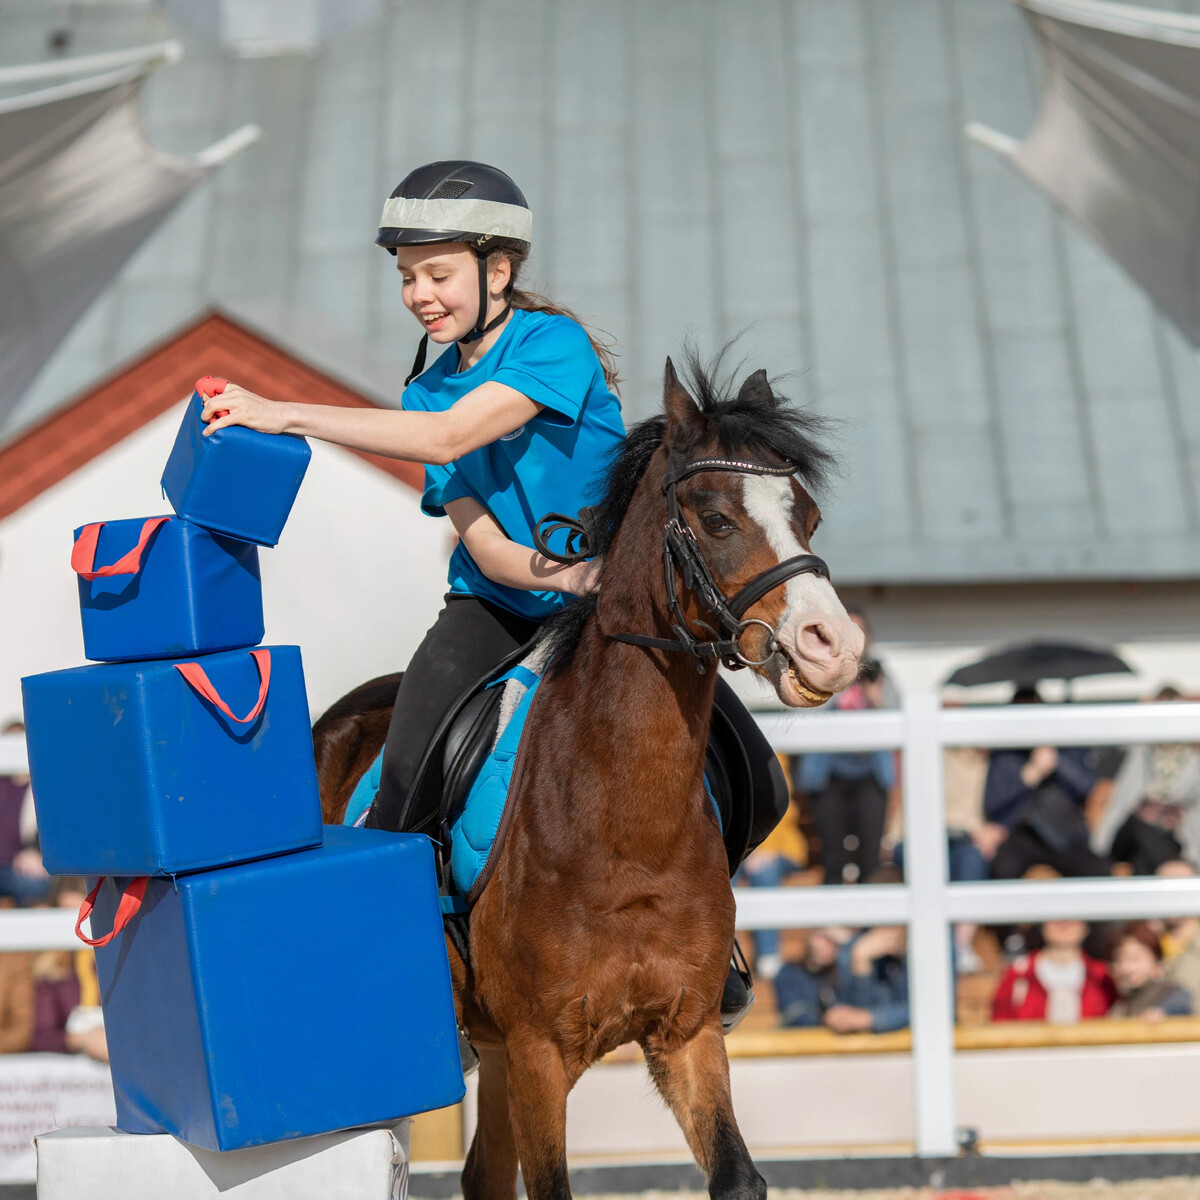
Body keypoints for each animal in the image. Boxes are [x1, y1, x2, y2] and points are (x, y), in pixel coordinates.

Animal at [316, 360, 864, 1195]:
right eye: (716, 520)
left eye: (808, 514)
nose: (833, 645)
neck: (622, 827)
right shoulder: (539, 1052)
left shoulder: (685, 1033)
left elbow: (737, 1175)